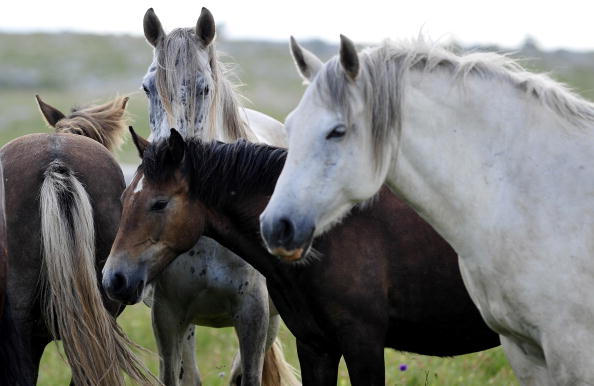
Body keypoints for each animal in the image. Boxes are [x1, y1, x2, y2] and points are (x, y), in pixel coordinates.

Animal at [103, 130, 500, 386]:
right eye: (124, 199)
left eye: (159, 203)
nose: (114, 279)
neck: (324, 231)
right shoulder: (315, 346)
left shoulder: (363, 343)